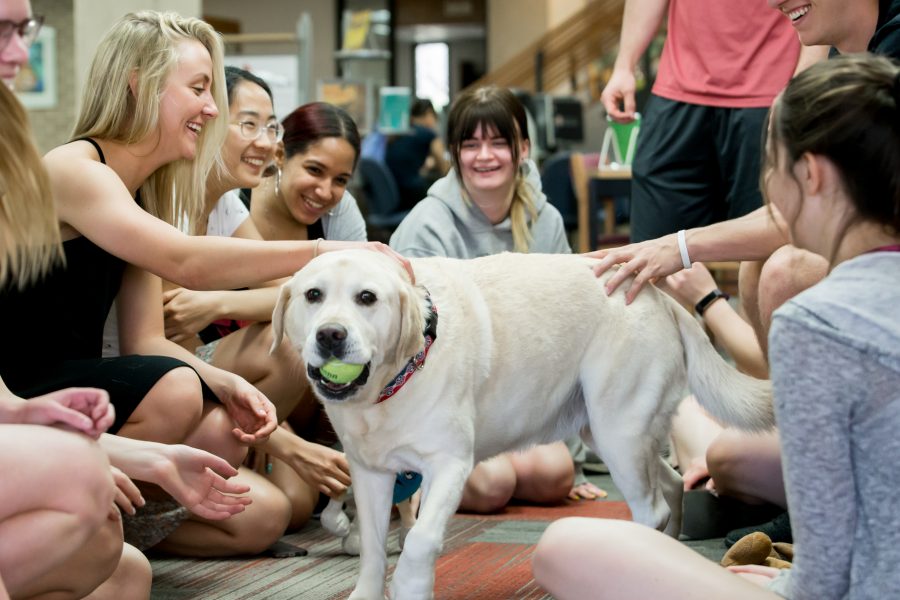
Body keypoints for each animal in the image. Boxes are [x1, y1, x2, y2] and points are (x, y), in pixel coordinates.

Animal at [270, 248, 768, 600]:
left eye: (367, 298)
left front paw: (411, 587)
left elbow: (420, 539)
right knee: (672, 482)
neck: (393, 382)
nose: (330, 335)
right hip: (611, 431)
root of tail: (657, 295)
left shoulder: (450, 464)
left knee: (653, 509)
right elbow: (373, 549)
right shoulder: (371, 473)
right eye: (313, 295)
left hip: (619, 429)